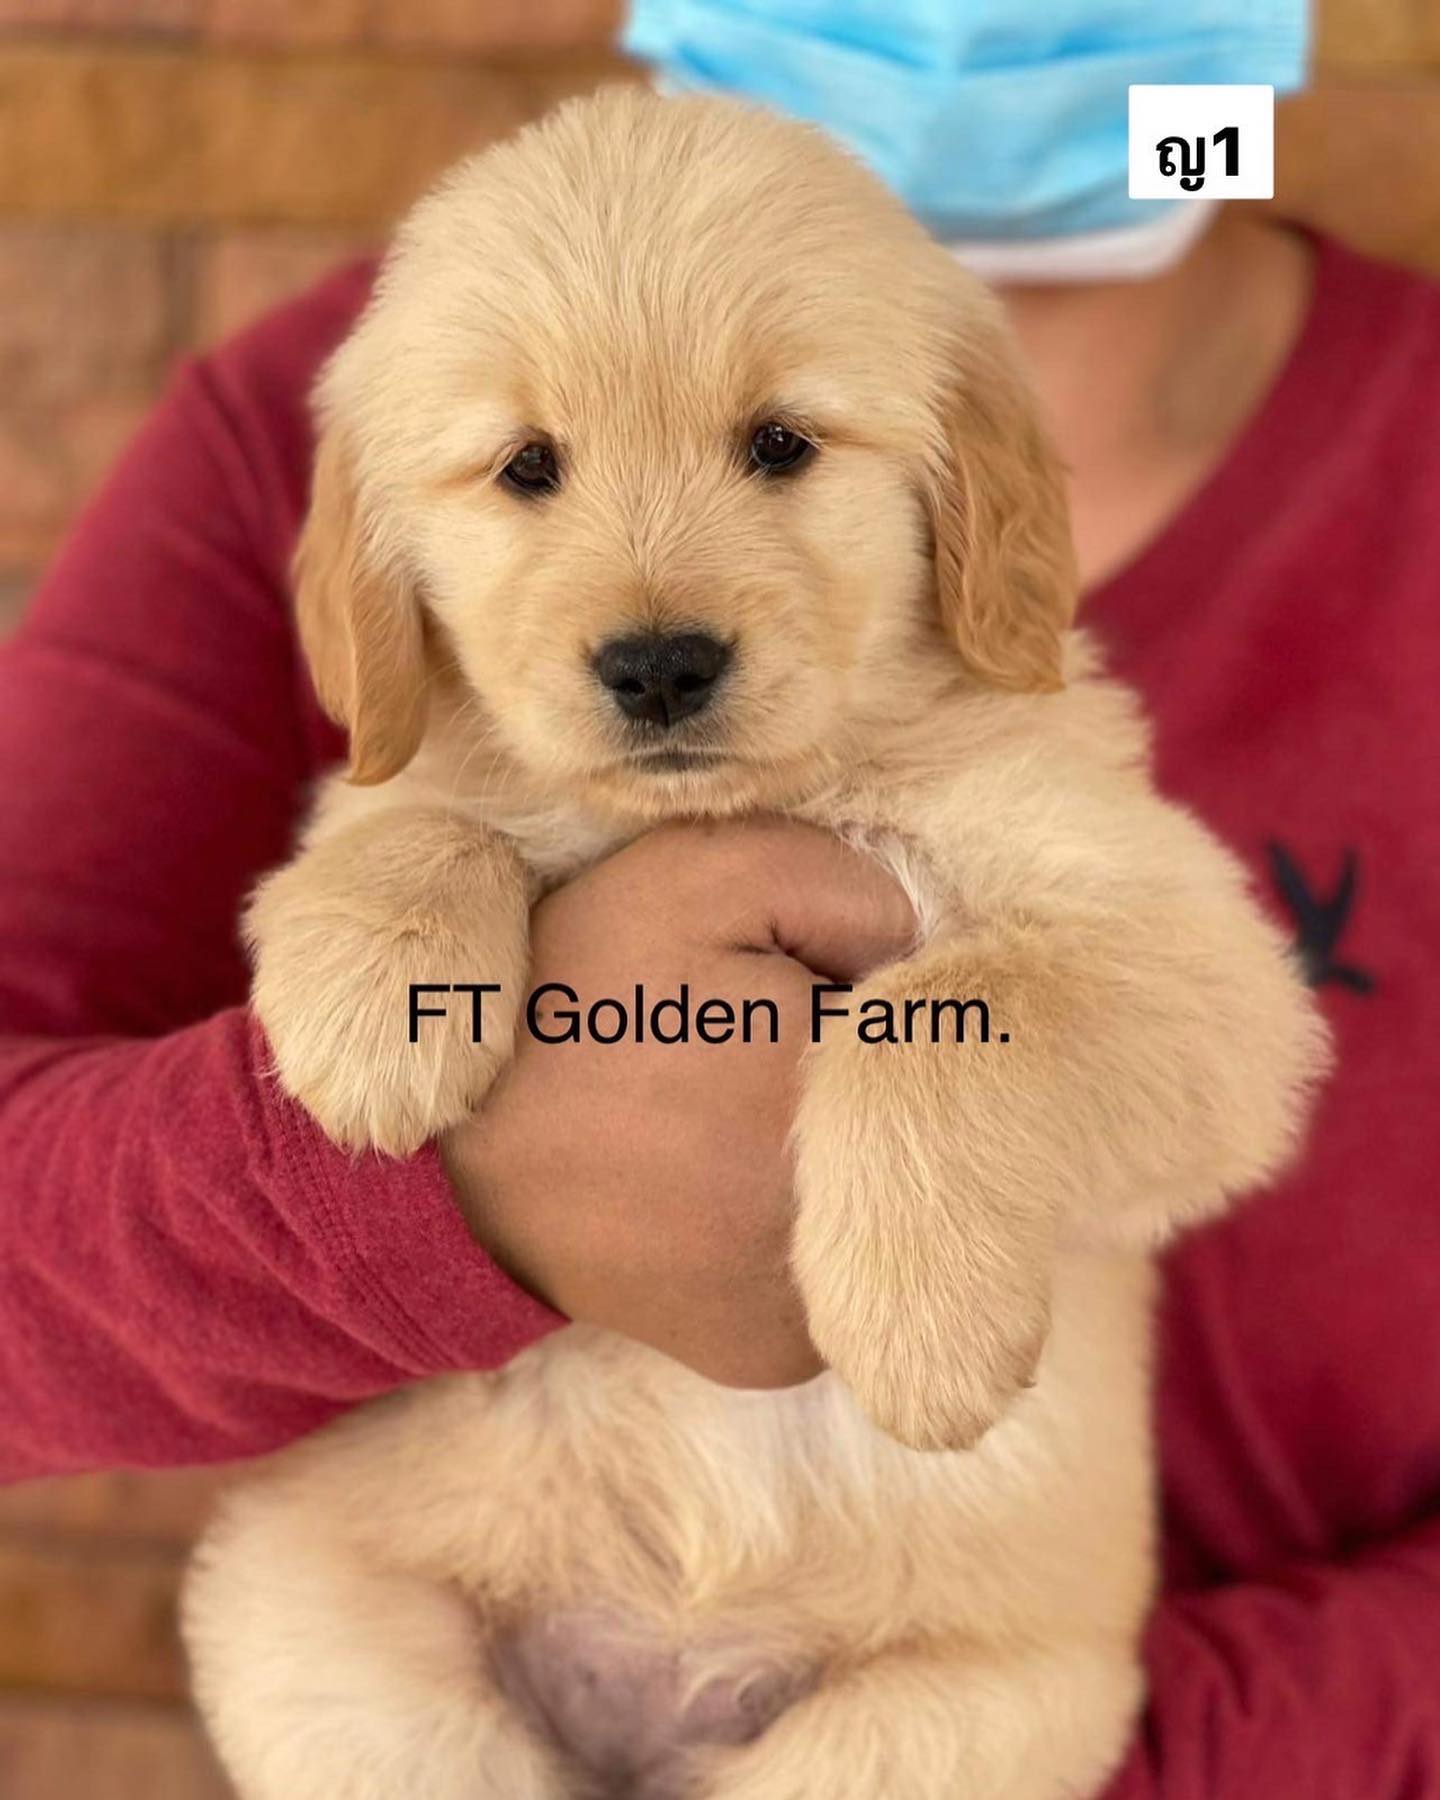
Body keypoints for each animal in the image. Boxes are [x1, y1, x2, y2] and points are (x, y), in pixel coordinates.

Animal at [183, 88, 1328, 1800]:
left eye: (781, 444)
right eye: (528, 468)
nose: (659, 666)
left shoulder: (1198, 960)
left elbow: (941, 1007)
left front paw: (920, 1332)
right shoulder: (408, 772)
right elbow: (411, 810)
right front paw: (382, 1009)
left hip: (972, 1717)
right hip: (317, 1630)